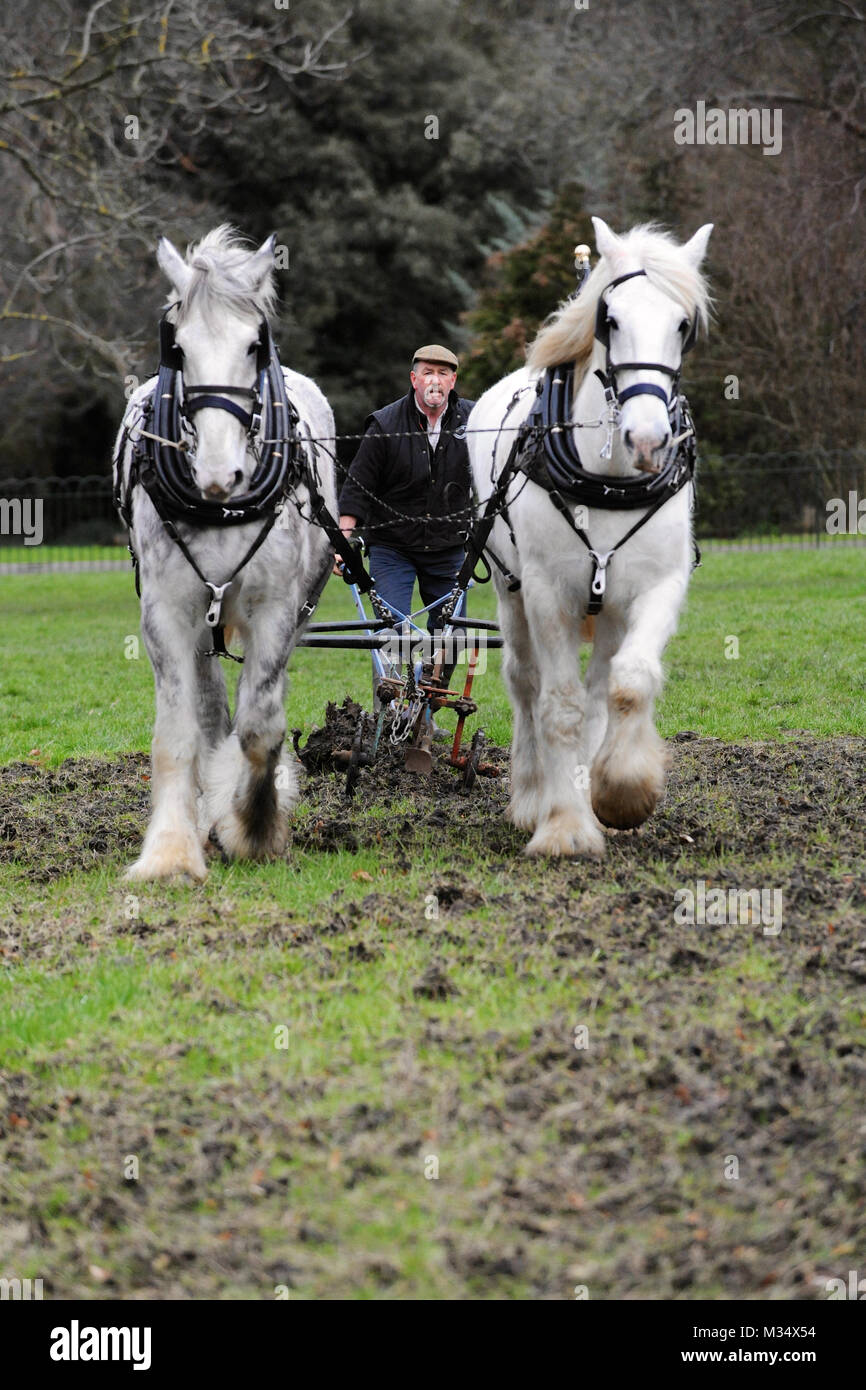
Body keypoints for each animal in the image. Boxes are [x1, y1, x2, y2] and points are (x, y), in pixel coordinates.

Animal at [111, 226, 335, 878]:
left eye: (254, 347)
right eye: (179, 350)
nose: (217, 475)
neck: (220, 508)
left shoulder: (276, 610)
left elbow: (261, 727)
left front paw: (254, 828)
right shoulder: (166, 611)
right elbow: (178, 734)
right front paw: (170, 850)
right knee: (211, 709)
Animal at [467, 216, 711, 856]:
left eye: (682, 325)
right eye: (613, 320)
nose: (647, 440)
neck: (612, 481)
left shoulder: (656, 587)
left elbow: (628, 683)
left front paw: (620, 792)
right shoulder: (549, 592)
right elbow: (560, 705)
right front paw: (564, 826)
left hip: (610, 609)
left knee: (602, 687)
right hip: (510, 589)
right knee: (526, 683)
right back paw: (533, 796)